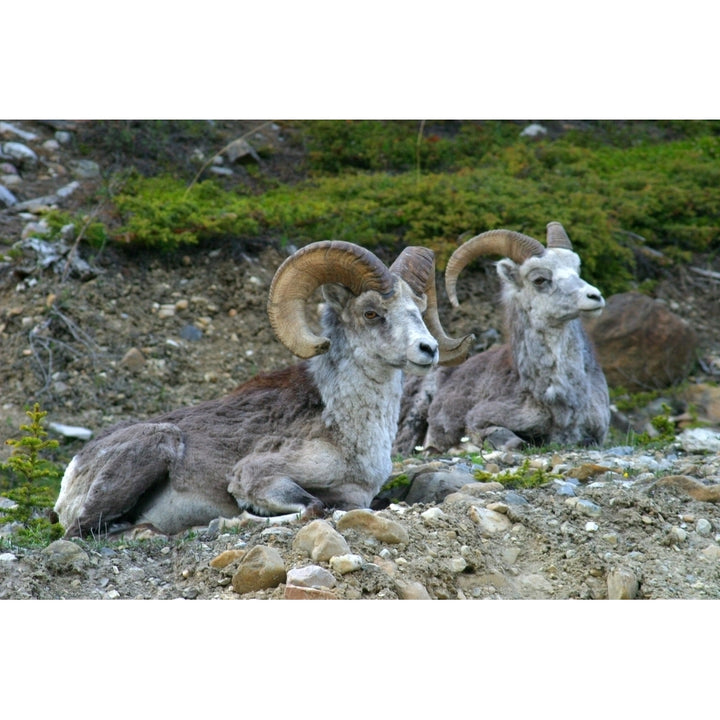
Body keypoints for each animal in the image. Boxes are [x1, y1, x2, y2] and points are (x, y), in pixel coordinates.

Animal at [56, 239, 472, 536]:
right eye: (371, 313)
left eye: (419, 309)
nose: (428, 349)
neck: (346, 429)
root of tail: (75, 467)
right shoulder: (256, 476)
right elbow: (314, 506)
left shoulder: (355, 495)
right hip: (157, 443)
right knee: (83, 531)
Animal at [396, 222, 612, 452]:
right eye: (539, 279)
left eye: (576, 270)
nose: (595, 296)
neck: (560, 400)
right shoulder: (480, 421)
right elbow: (514, 441)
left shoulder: (594, 436)